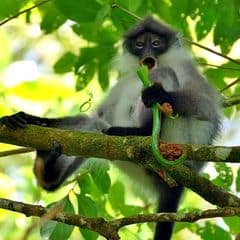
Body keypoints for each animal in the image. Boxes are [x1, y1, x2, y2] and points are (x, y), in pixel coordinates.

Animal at [0, 17, 221, 240]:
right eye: (139, 44)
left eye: (156, 43)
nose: (147, 51)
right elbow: (96, 116)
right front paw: (29, 119)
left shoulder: (186, 69)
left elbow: (206, 109)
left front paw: (161, 95)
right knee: (95, 128)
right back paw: (48, 174)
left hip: (178, 143)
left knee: (166, 77)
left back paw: (142, 133)